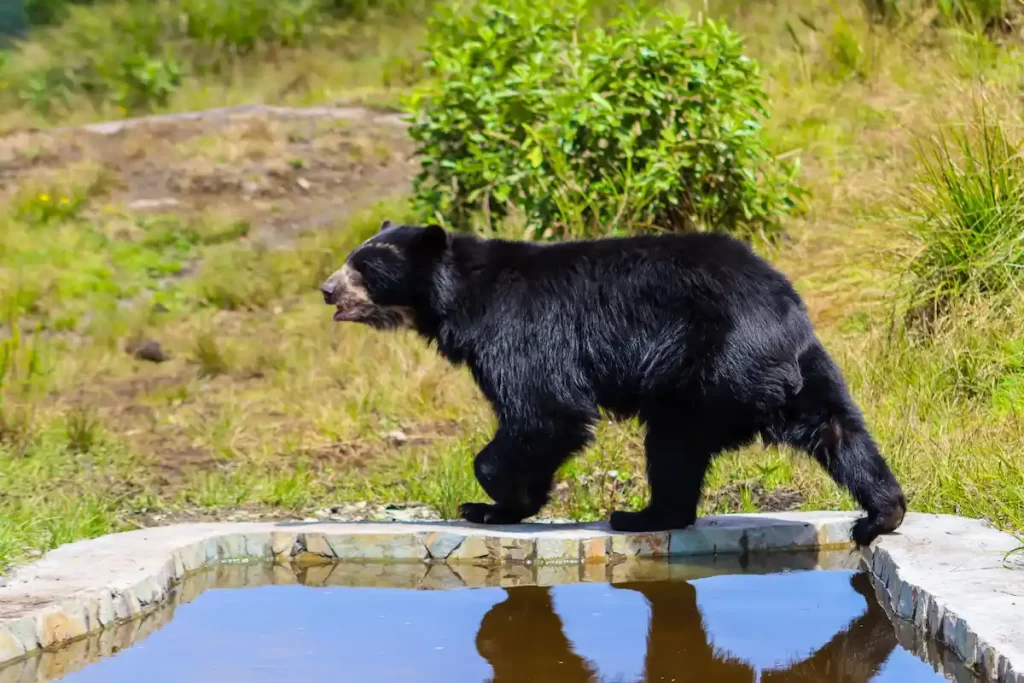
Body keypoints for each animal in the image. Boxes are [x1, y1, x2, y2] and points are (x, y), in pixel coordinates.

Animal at [319, 220, 907, 545]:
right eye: (351, 259)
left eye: (364, 265)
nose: (326, 289)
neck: (458, 295)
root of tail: (782, 317)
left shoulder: (517, 328)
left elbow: (544, 410)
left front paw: (493, 502)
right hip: (806, 370)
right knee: (837, 429)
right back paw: (881, 513)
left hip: (710, 371)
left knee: (672, 443)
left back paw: (639, 515)